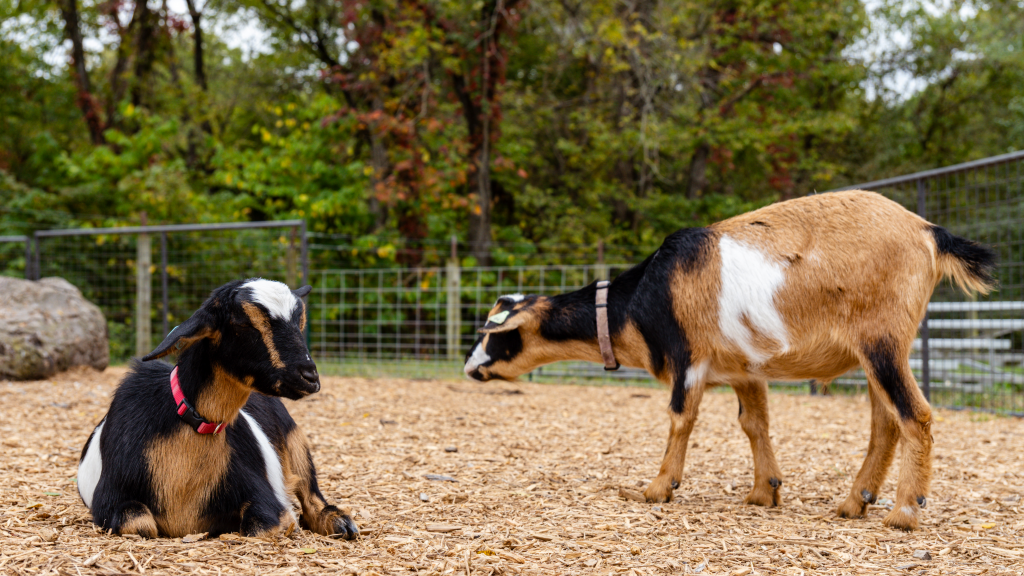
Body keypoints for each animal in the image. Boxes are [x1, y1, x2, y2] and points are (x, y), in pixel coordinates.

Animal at [77, 278, 358, 539]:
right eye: (243, 323)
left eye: (300, 323)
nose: (309, 377)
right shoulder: (109, 498)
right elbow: (139, 523)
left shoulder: (263, 495)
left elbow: (265, 525)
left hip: (296, 441)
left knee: (311, 497)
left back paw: (340, 522)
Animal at [464, 190, 996, 531]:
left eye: (498, 337)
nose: (470, 368)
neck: (644, 299)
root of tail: (928, 232)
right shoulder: (744, 369)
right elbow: (754, 423)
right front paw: (764, 492)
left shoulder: (688, 358)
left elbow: (681, 418)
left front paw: (656, 489)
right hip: (874, 352)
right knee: (885, 423)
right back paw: (853, 502)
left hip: (881, 342)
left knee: (914, 415)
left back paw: (904, 512)